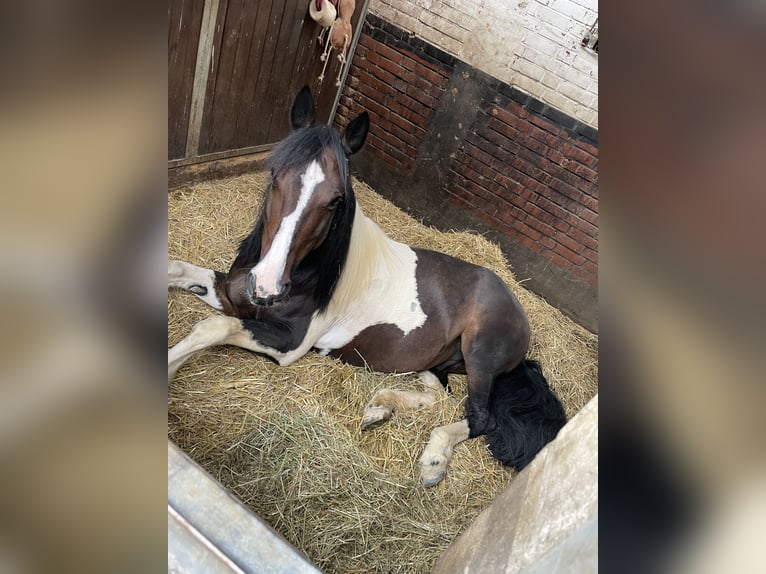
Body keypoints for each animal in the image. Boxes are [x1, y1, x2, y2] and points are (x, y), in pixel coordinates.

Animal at [168, 86, 566, 487]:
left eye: (335, 200)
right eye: (273, 174)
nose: (267, 286)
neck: (311, 274)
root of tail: (515, 306)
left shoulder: (290, 344)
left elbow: (213, 327)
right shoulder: (232, 294)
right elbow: (177, 270)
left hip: (480, 356)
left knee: (481, 417)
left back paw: (433, 460)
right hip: (437, 361)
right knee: (438, 394)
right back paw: (380, 409)